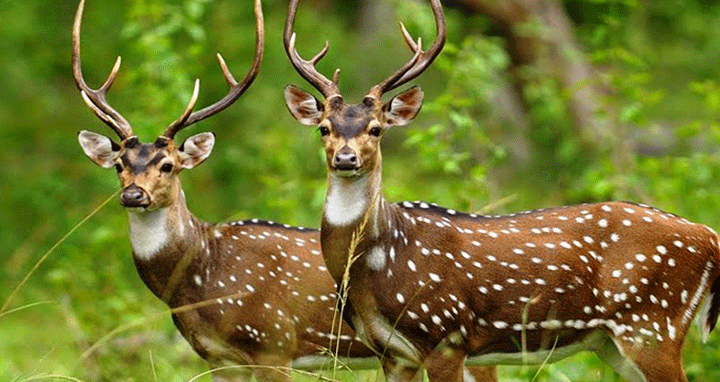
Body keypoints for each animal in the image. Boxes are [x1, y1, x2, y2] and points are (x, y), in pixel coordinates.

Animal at [284, 0, 720, 380]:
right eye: (324, 128)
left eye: (376, 129)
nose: (345, 159)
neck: (376, 265)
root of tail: (710, 237)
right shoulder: (392, 354)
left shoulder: (447, 336)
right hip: (614, 342)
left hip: (653, 324)